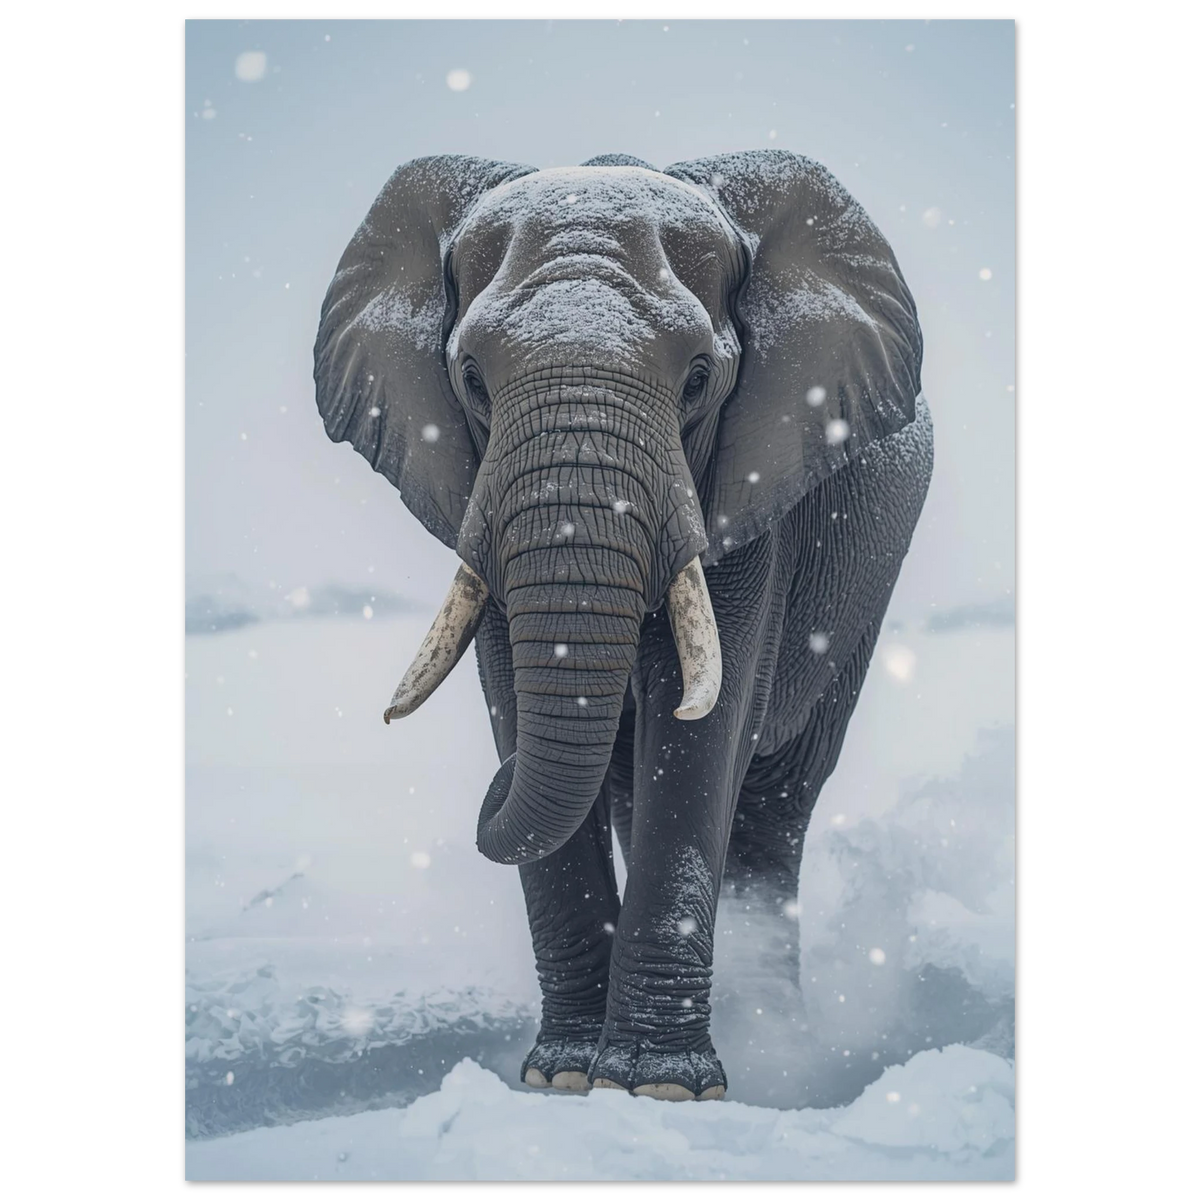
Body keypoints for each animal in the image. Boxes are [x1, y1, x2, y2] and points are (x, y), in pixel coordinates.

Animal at [313, 150, 933, 1103]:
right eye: (471, 379)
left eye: (699, 380)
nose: (489, 786)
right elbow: (517, 698)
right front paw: (562, 1077)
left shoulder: (752, 488)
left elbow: (702, 733)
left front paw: (658, 1089)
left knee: (775, 805)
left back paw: (779, 1042)